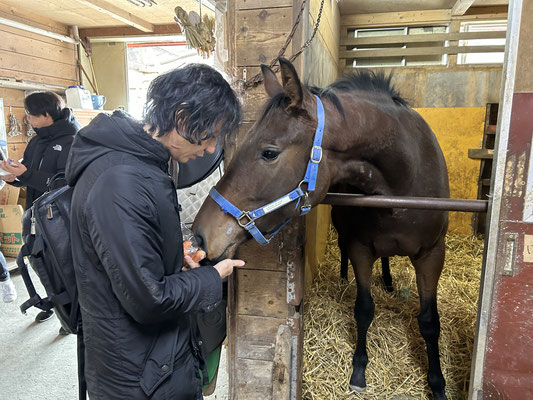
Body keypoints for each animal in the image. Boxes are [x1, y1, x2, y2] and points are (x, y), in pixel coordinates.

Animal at [192, 57, 448, 398]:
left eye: (269, 153)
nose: (200, 234)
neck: (403, 180)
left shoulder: (432, 254)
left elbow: (429, 321)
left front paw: (438, 384)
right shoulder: (361, 248)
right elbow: (364, 308)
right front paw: (358, 371)